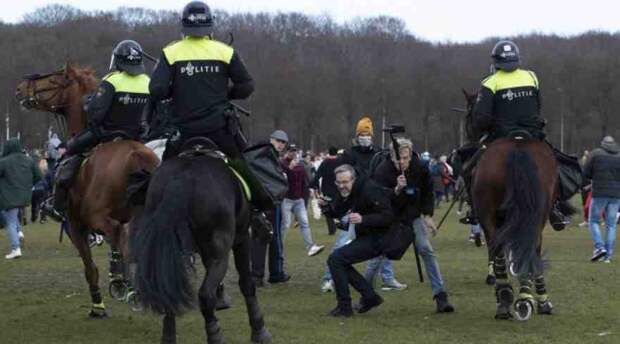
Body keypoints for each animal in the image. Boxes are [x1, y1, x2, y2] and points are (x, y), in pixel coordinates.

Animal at [16, 62, 159, 318]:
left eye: (53, 79)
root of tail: (138, 157)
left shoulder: (76, 226)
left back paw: (123, 283)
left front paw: (98, 306)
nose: (20, 87)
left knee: (118, 234)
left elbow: (90, 268)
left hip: (95, 216)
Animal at [460, 90, 556, 322]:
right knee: (528, 246)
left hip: (491, 215)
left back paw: (507, 298)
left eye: (469, 114)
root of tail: (518, 148)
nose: (467, 142)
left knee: (499, 248)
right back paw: (524, 298)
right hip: (533, 216)